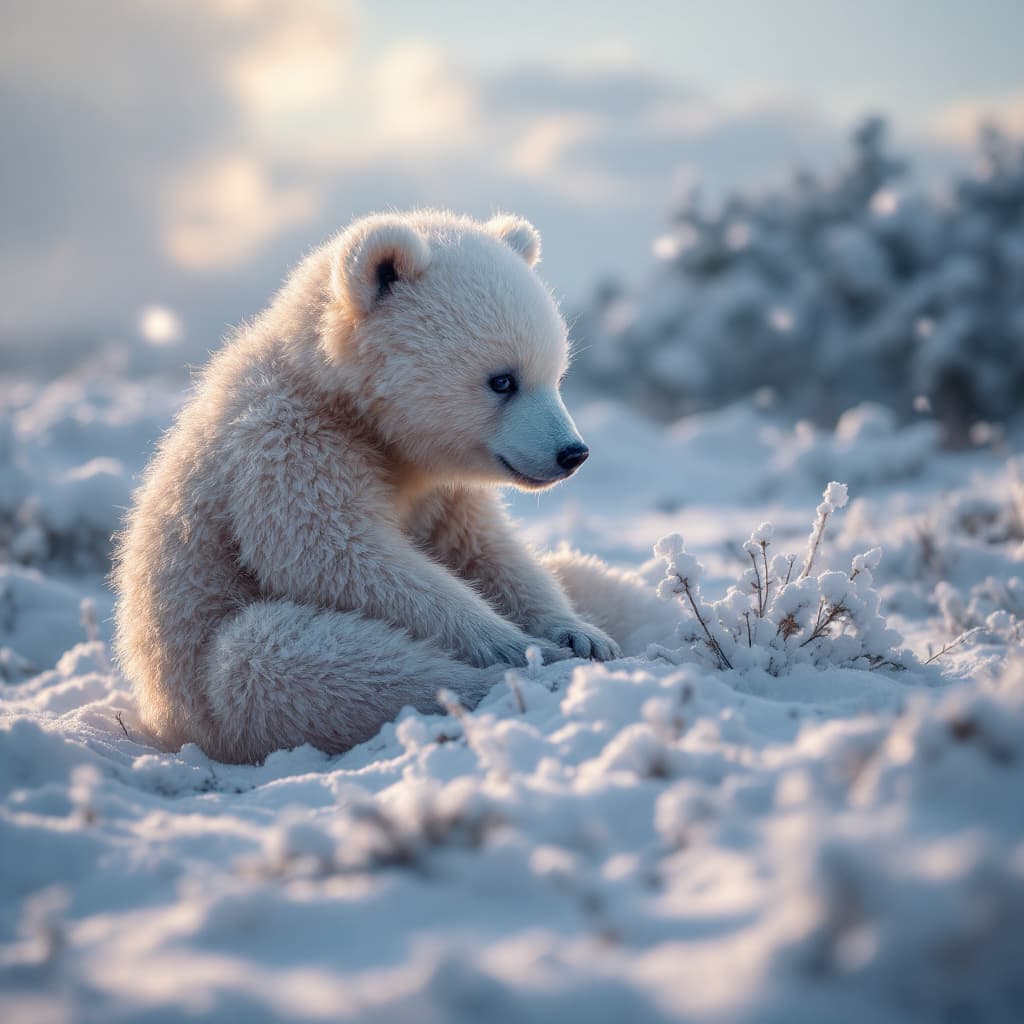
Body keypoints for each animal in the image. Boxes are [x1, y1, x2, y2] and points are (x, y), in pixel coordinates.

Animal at [112, 209, 665, 764]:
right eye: (503, 380)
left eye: (557, 374)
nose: (572, 453)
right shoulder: (284, 443)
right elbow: (329, 552)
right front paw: (512, 645)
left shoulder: (437, 488)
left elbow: (485, 550)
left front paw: (581, 636)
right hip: (205, 693)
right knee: (271, 659)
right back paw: (497, 684)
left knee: (587, 574)